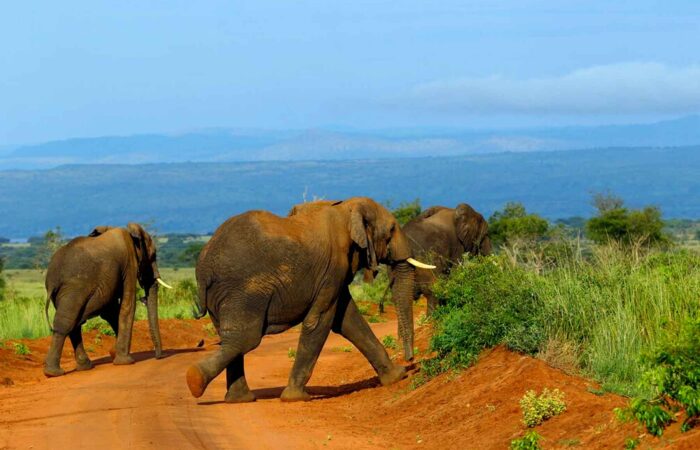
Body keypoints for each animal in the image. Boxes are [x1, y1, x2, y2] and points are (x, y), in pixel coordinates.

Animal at [43, 223, 172, 377]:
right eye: (153, 256)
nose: (160, 357)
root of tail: (52, 277)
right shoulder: (129, 263)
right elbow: (127, 305)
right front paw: (126, 361)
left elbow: (111, 312)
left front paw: (114, 352)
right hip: (74, 288)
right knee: (66, 323)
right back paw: (54, 373)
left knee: (74, 324)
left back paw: (83, 367)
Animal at [187, 197, 435, 403]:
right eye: (391, 229)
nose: (410, 361)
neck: (347, 208)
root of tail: (204, 267)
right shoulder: (333, 268)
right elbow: (319, 321)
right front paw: (295, 398)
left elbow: (349, 321)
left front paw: (396, 377)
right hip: (244, 291)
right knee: (244, 339)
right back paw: (195, 380)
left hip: (224, 295)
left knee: (231, 339)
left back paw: (238, 399)